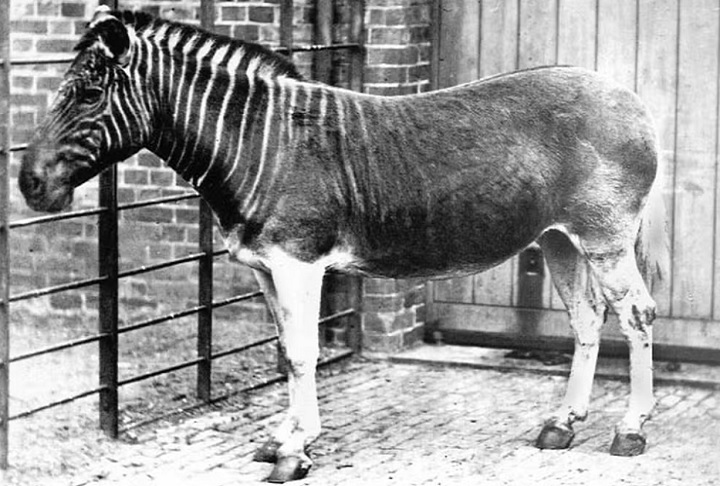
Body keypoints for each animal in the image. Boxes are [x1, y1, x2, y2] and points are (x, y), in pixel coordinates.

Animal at [20, 7, 666, 483]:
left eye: (86, 94)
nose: (28, 185)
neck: (255, 144)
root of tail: (631, 97)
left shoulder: (299, 263)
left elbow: (304, 354)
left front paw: (295, 452)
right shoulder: (264, 267)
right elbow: (285, 350)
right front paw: (283, 437)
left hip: (605, 235)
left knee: (636, 315)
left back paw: (630, 430)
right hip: (560, 238)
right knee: (587, 320)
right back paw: (563, 424)